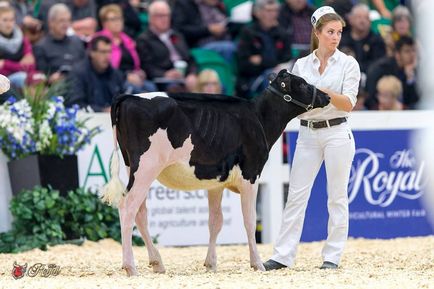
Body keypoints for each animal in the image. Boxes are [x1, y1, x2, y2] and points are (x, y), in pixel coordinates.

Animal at [101, 69, 330, 274]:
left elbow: (215, 221)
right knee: (127, 207)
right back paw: (130, 266)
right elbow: (249, 221)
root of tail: (129, 97)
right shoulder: (251, 175)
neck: (259, 118)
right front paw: (257, 264)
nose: (327, 96)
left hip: (134, 167)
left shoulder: (216, 182)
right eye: (302, 83)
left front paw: (211, 264)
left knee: (140, 213)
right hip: (146, 167)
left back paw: (157, 263)